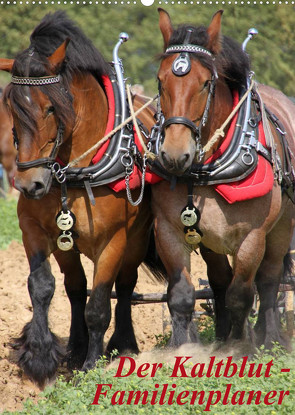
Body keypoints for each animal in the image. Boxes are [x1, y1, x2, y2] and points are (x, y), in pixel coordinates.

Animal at [0, 13, 158, 390]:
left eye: (51, 108)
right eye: (12, 107)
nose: (29, 184)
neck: (73, 173)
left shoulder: (114, 240)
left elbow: (99, 303)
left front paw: (90, 367)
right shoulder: (35, 230)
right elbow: (42, 286)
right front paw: (41, 357)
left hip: (136, 239)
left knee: (125, 286)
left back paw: (122, 345)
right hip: (67, 245)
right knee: (74, 288)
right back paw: (74, 347)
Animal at [151, 9, 295, 352]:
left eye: (205, 83)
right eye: (160, 81)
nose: (174, 155)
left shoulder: (252, 237)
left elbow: (241, 294)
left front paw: (241, 347)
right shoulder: (168, 230)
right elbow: (182, 295)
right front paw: (184, 348)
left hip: (282, 227)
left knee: (268, 280)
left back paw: (268, 336)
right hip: (211, 241)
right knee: (218, 281)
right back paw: (221, 335)